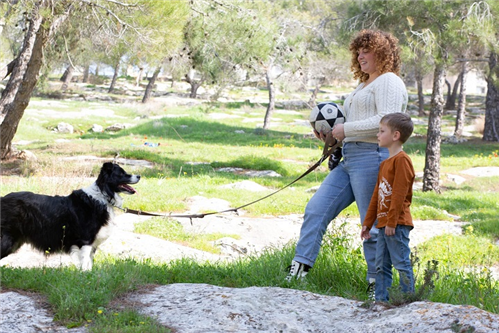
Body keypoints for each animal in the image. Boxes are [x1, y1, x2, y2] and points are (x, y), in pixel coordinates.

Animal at [0, 161, 140, 270]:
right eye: (121, 173)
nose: (139, 176)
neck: (103, 196)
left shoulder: (91, 243)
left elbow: (89, 265)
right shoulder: (85, 240)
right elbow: (85, 264)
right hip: (7, 240)